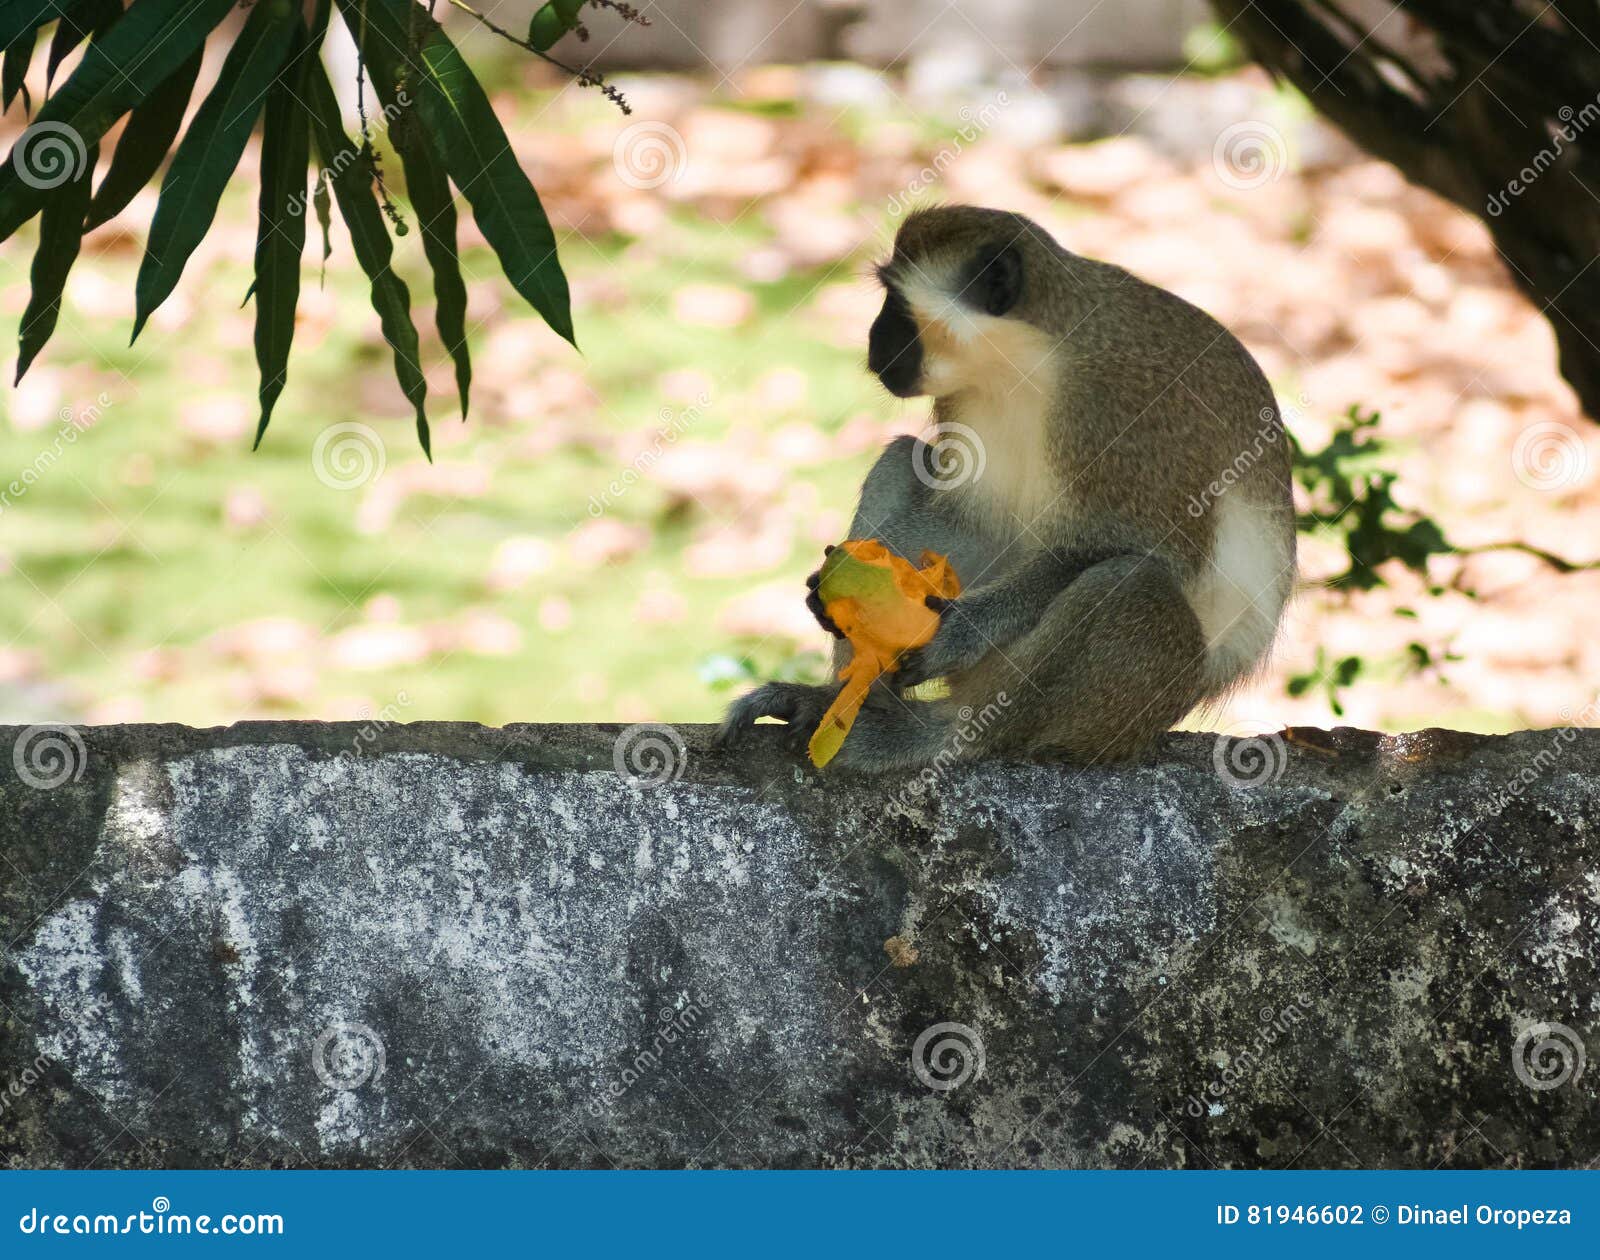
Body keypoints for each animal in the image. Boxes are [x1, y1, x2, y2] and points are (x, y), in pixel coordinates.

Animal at [717, 204, 1296, 772]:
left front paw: (960, 632)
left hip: (1127, 710)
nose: (874, 344)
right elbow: (971, 522)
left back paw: (934, 734)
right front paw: (838, 592)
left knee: (1130, 582)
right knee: (901, 460)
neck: (1025, 363)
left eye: (896, 303)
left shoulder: (1125, 411)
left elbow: (1159, 553)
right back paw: (842, 700)